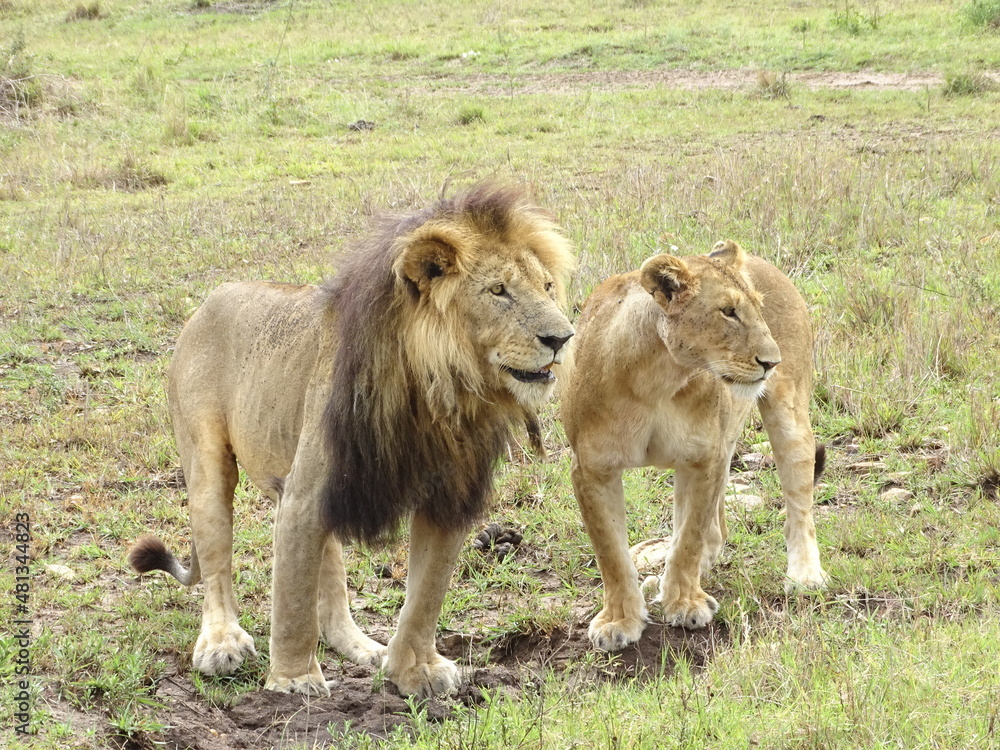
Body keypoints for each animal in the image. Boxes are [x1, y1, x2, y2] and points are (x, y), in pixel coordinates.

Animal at [128, 184, 575, 697]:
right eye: (498, 291)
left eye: (546, 286)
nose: (563, 338)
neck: (439, 392)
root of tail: (209, 300)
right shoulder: (305, 496)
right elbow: (292, 604)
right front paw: (294, 682)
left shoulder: (447, 499)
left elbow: (426, 594)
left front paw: (414, 670)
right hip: (208, 465)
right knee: (219, 562)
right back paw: (221, 643)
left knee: (330, 593)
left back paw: (365, 648)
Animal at [561, 240, 827, 652]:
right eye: (728, 312)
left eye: (758, 307)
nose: (772, 361)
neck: (657, 377)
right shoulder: (591, 468)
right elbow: (611, 552)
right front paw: (619, 620)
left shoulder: (703, 458)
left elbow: (689, 536)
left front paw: (684, 604)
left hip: (790, 416)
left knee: (798, 505)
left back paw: (805, 576)